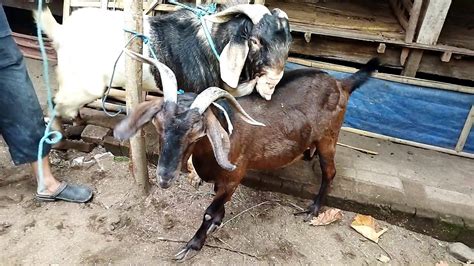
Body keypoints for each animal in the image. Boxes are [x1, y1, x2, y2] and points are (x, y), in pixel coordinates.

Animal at [113, 51, 380, 260]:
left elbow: (209, 211)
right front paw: (217, 222)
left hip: (328, 138)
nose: (164, 177)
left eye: (197, 132)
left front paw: (193, 245)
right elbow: (216, 207)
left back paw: (313, 210)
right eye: (158, 124)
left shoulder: (234, 176)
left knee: (330, 171)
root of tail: (341, 83)